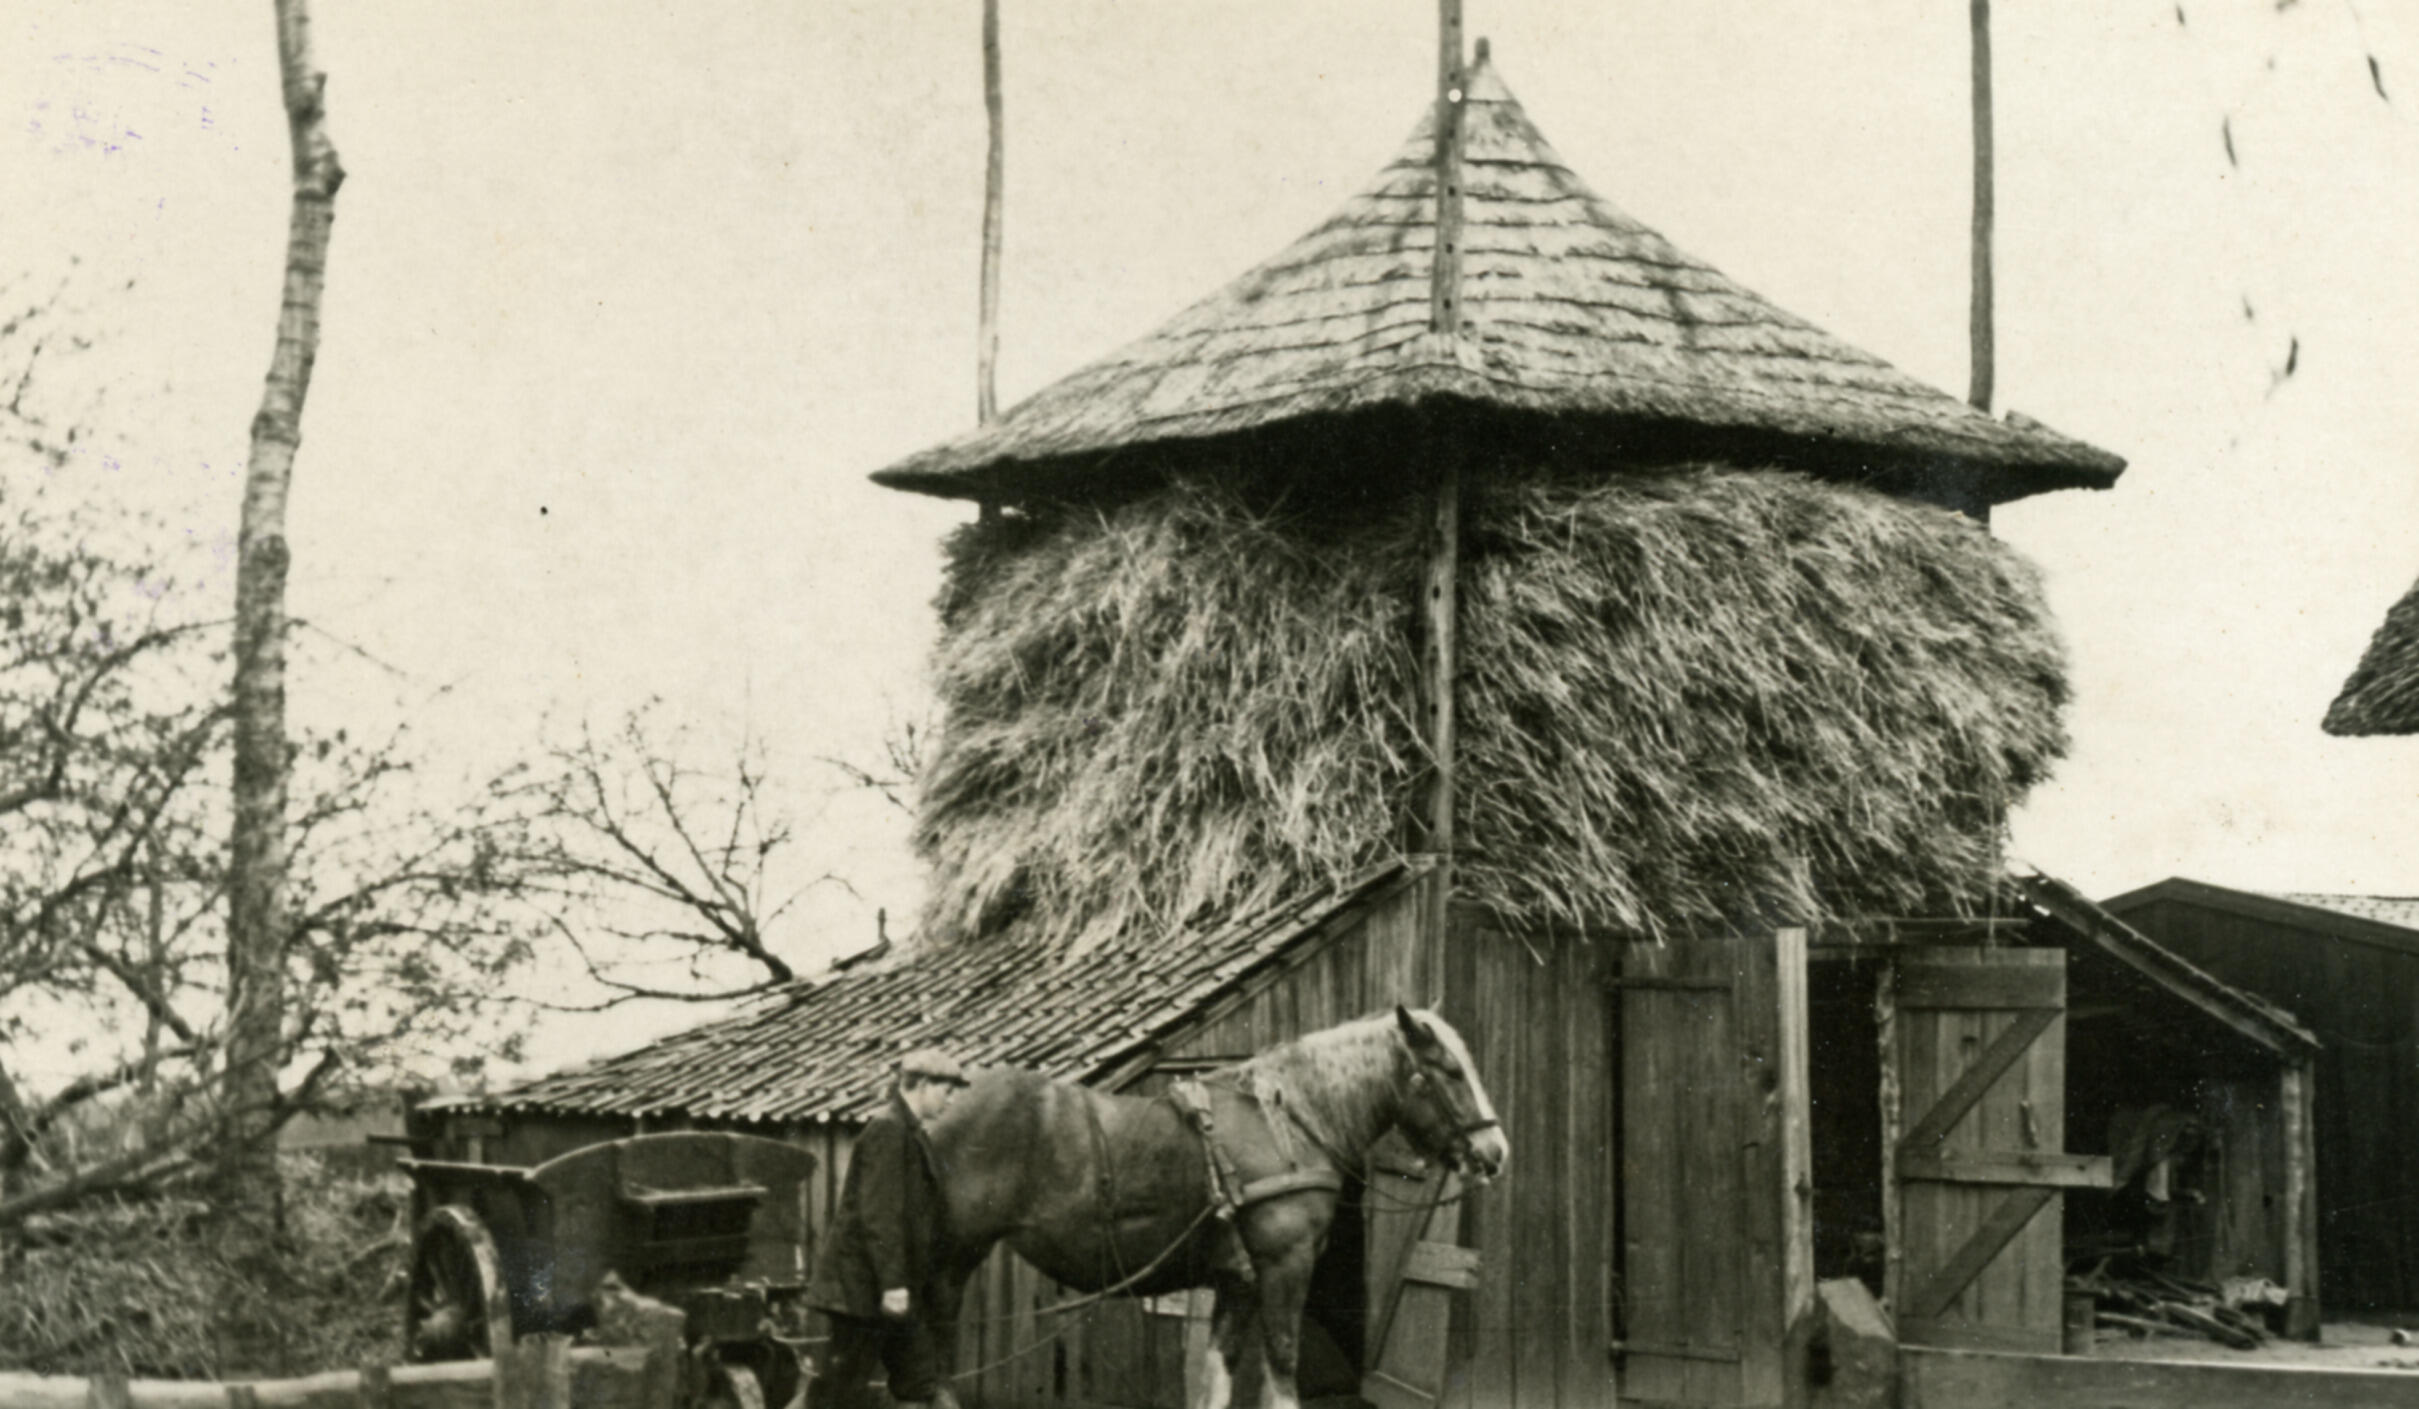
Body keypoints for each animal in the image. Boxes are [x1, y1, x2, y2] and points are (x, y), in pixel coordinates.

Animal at [920, 1006, 1508, 1409]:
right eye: (1451, 1072)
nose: (1496, 1151)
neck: (1288, 1124)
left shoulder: (1237, 1280)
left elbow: (1218, 1381)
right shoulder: (1285, 1266)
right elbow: (1283, 1367)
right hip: (949, 1264)